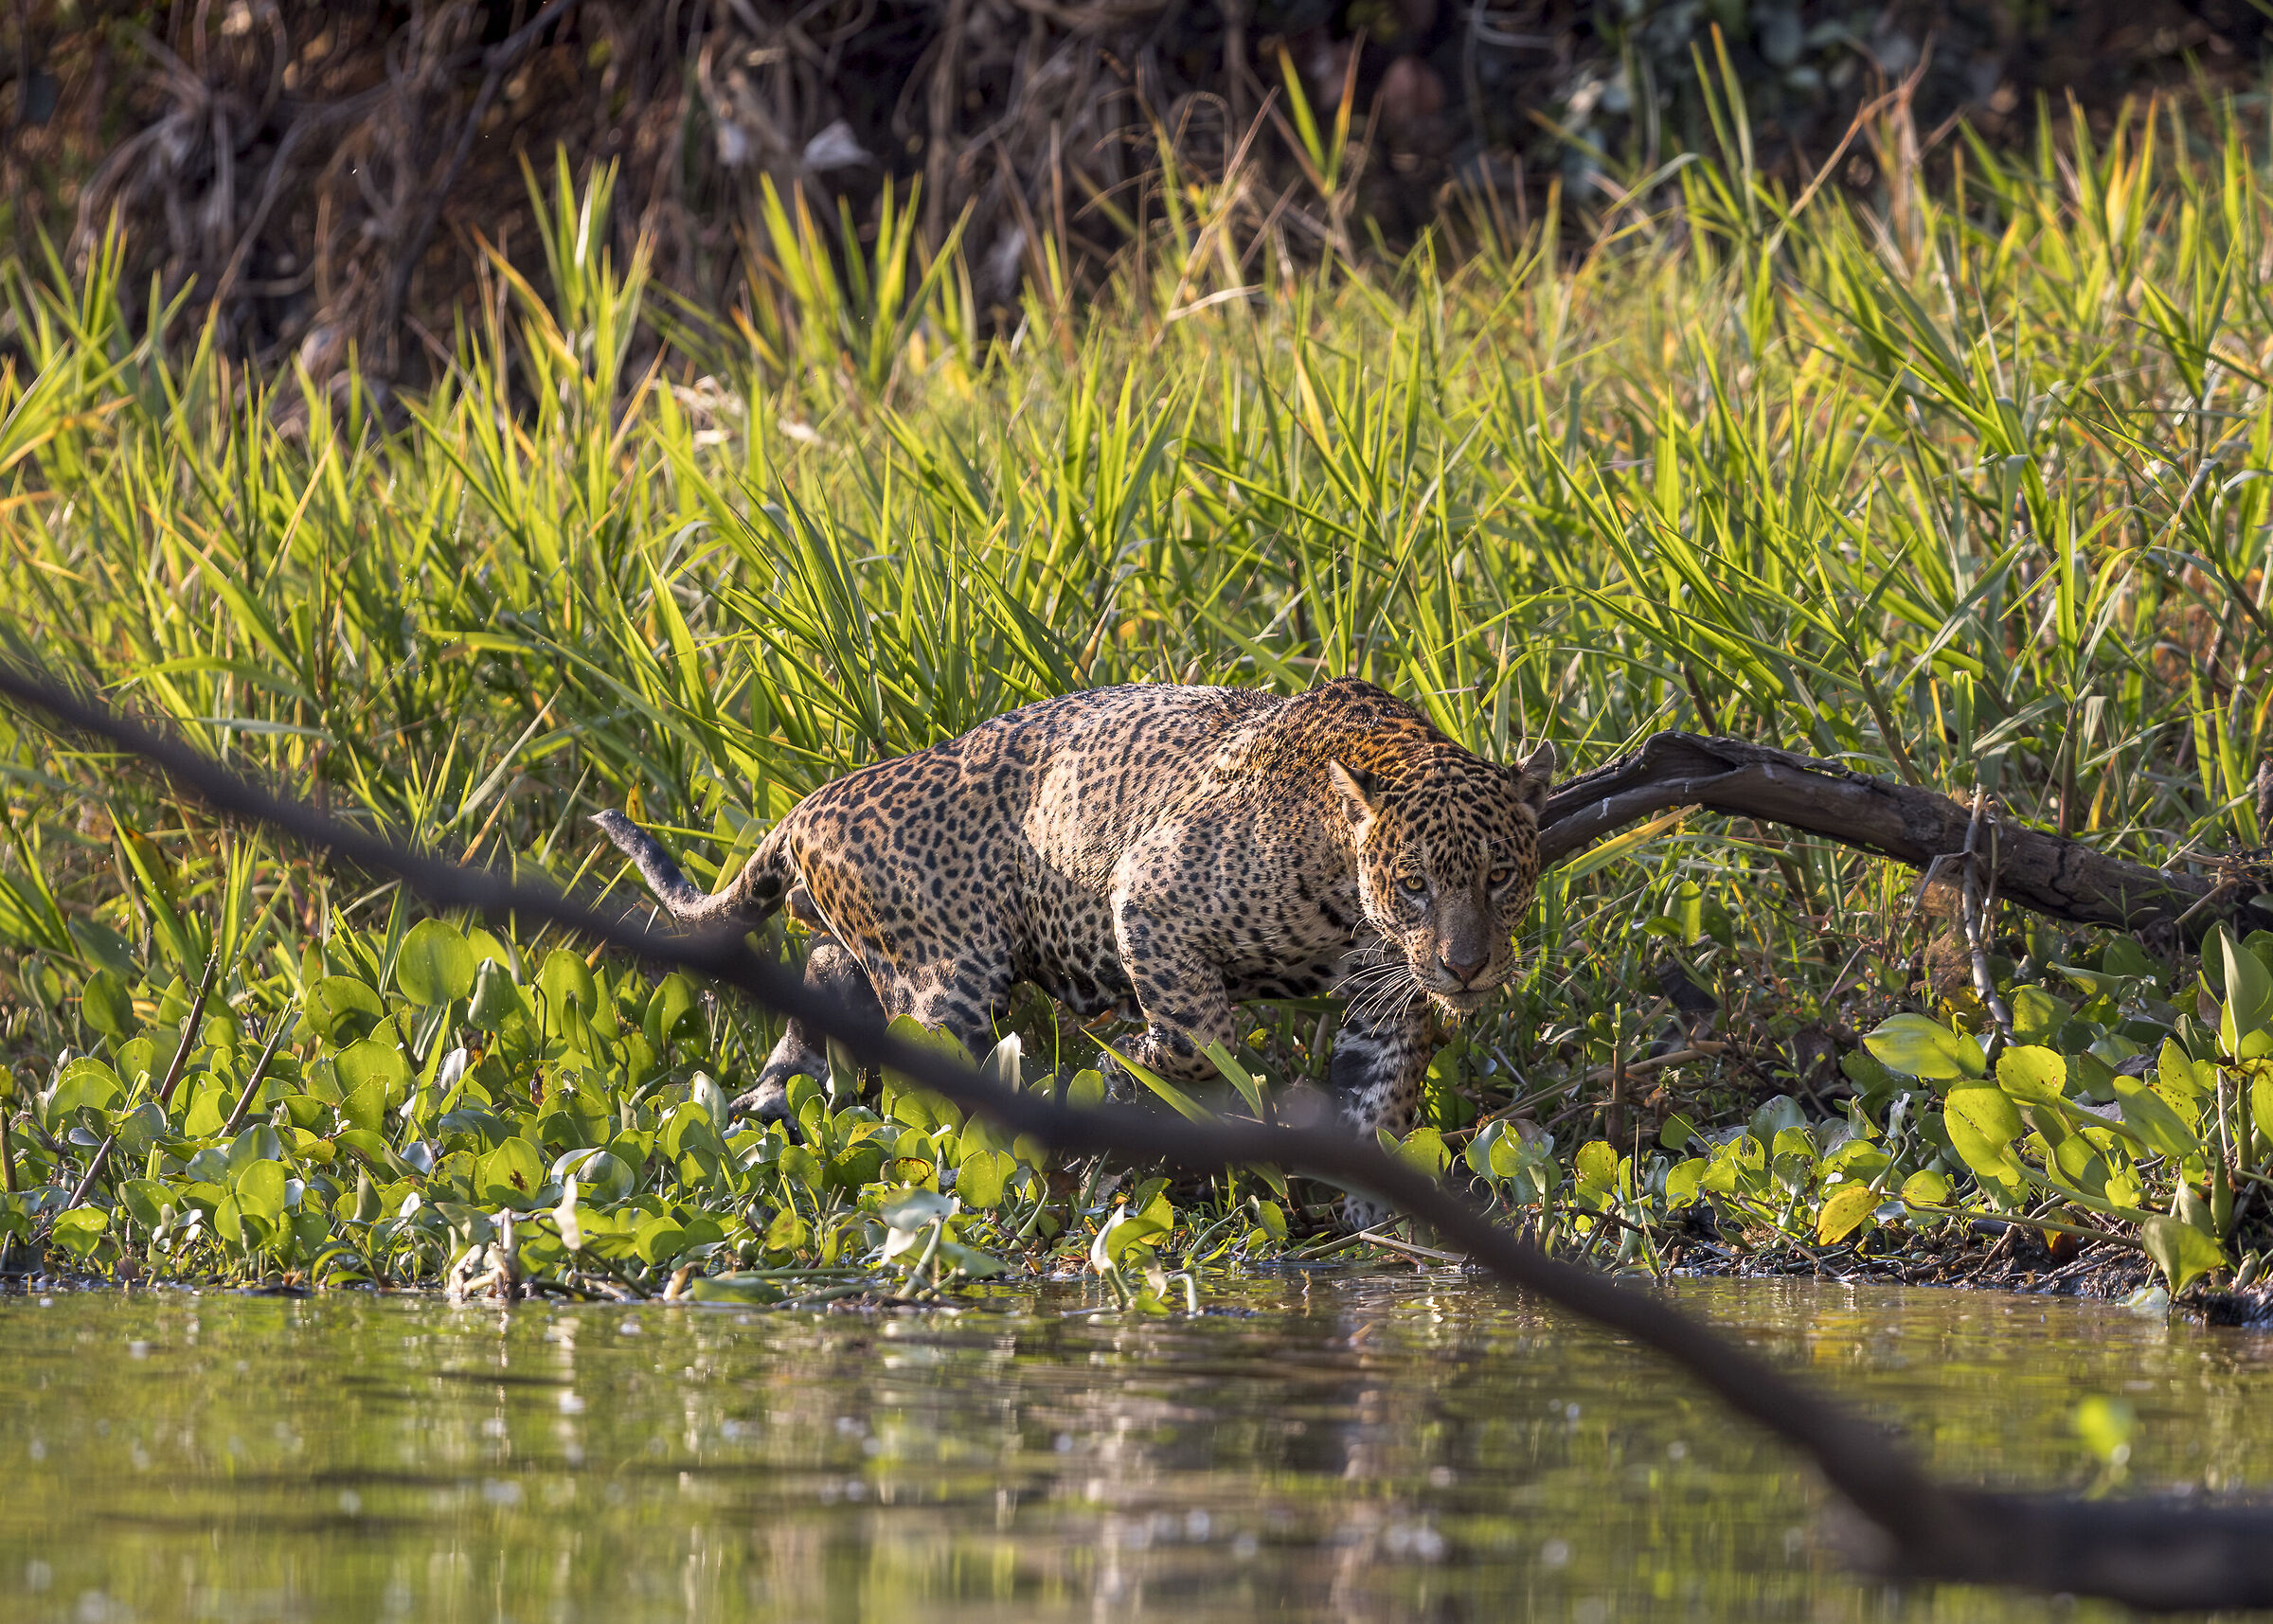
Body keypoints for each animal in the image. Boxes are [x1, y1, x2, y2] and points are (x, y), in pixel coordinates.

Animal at [594, 676, 1555, 1173]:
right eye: (1416, 885)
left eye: (1500, 877)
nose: (1467, 966)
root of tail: (810, 804)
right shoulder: (1149, 889)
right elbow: (1202, 1031)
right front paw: (1132, 1069)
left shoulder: (1391, 999)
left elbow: (1377, 1104)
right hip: (946, 979)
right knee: (918, 1082)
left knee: (826, 975)